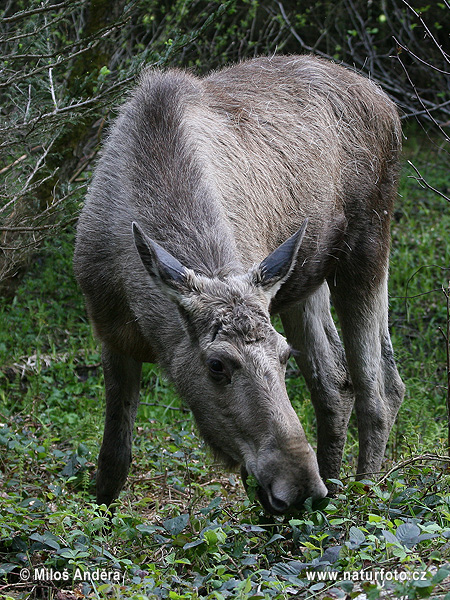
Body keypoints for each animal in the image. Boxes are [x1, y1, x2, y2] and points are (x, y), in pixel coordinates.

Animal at [74, 56, 404, 512]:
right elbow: (113, 460)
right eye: (217, 365)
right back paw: (332, 489)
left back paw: (360, 499)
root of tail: (387, 103)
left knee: (380, 390)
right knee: (336, 382)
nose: (301, 487)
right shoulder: (110, 333)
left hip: (367, 249)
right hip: (303, 280)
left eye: (283, 356)